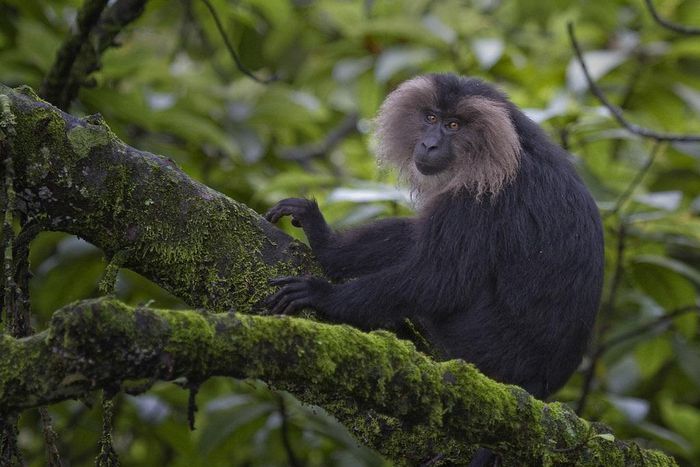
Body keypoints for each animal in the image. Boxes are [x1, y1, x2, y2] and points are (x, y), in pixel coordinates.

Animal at [264, 74, 604, 464]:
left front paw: (323, 295)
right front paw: (324, 240)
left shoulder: (480, 193)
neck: (514, 146)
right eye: (430, 118)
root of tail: (540, 383)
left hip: (483, 340)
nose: (429, 143)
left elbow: (441, 282)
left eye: (453, 125)